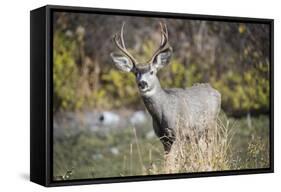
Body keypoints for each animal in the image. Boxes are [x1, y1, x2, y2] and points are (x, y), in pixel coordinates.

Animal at [110, 23, 221, 157]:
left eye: (152, 72)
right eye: (135, 73)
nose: (142, 83)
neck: (162, 113)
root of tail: (215, 91)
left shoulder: (179, 132)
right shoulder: (163, 138)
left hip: (210, 124)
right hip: (199, 133)